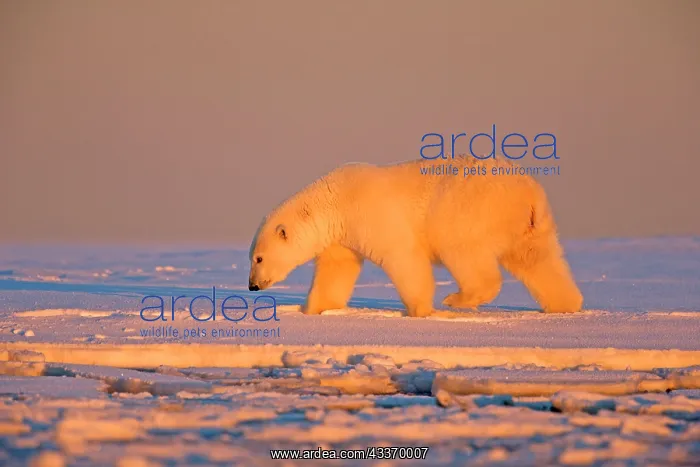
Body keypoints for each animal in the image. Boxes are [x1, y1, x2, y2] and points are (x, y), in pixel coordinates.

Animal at [248, 156, 583, 317]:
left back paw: (457, 298)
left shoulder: (372, 214)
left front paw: (419, 309)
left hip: (470, 208)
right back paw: (564, 304)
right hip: (532, 226)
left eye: (259, 258)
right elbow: (336, 270)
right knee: (538, 259)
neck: (334, 201)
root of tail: (529, 193)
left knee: (463, 249)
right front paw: (314, 309)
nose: (252, 286)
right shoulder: (341, 237)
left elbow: (403, 257)